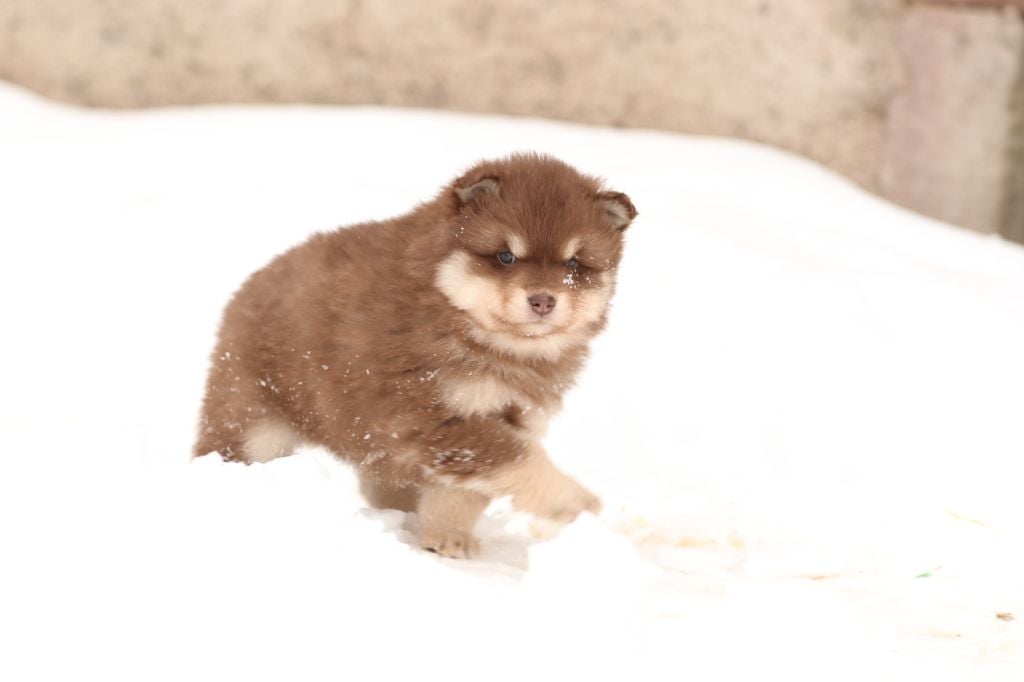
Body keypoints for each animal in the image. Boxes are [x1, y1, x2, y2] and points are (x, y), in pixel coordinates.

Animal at [194, 153, 637, 558]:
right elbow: (518, 461)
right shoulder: (433, 412)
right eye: (506, 256)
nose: (543, 300)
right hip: (250, 420)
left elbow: (466, 489)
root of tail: (251, 283)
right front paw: (577, 502)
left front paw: (447, 537)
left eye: (573, 263)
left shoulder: (509, 416)